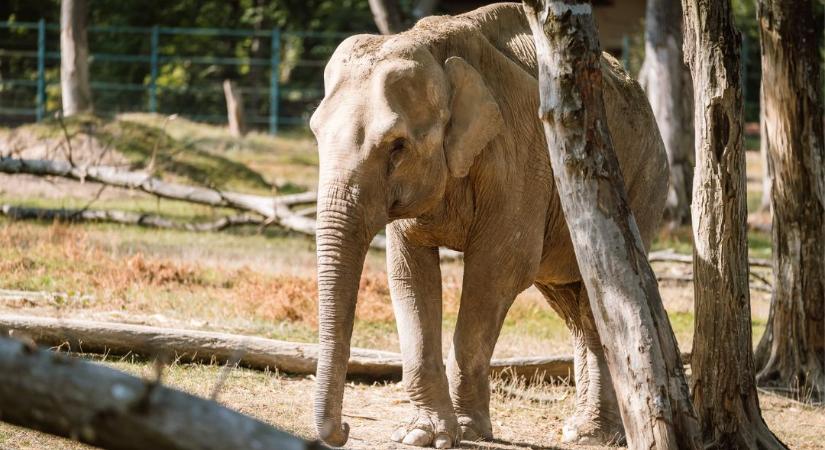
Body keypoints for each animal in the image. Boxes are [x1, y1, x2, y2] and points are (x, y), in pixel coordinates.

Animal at [308, 2, 668, 446]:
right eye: (315, 134)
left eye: (397, 147)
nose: (344, 428)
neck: (434, 45)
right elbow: (408, 272)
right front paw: (420, 434)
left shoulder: (520, 156)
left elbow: (499, 269)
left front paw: (466, 430)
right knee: (572, 300)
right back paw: (585, 429)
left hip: (643, 182)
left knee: (599, 290)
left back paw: (590, 435)